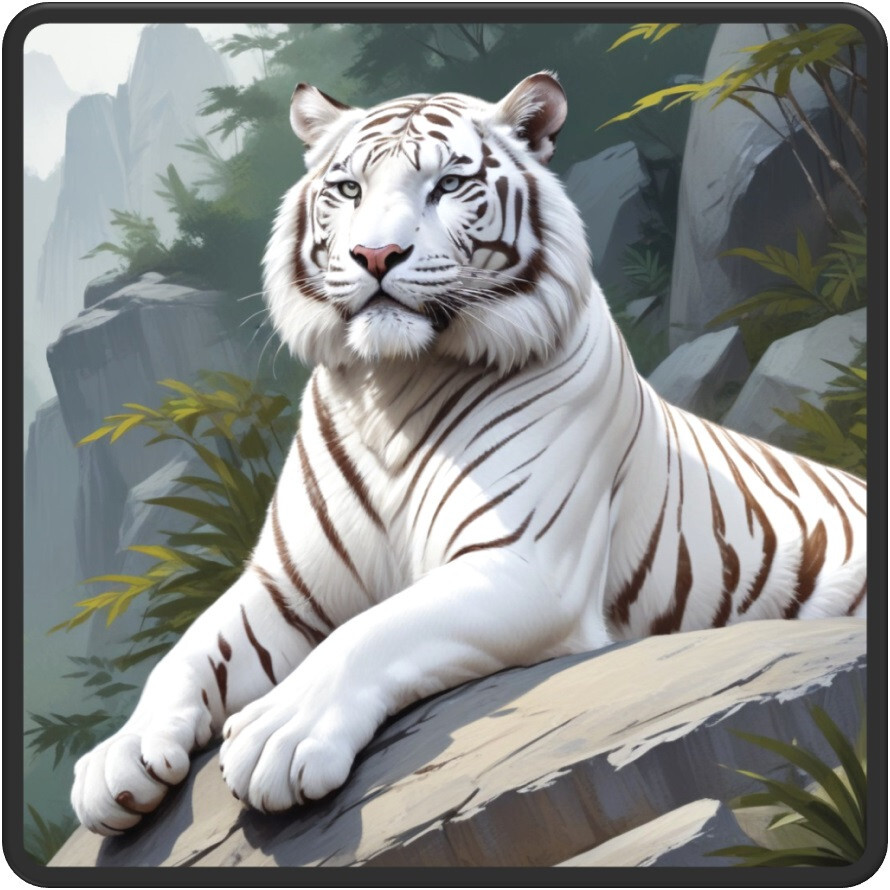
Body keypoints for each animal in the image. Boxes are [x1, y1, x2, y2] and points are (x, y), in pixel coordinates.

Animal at [71, 72, 867, 835]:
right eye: (348, 189)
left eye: (448, 185)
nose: (376, 254)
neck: (392, 387)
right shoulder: (288, 587)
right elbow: (189, 650)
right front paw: (119, 758)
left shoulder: (521, 564)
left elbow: (374, 630)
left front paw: (280, 734)